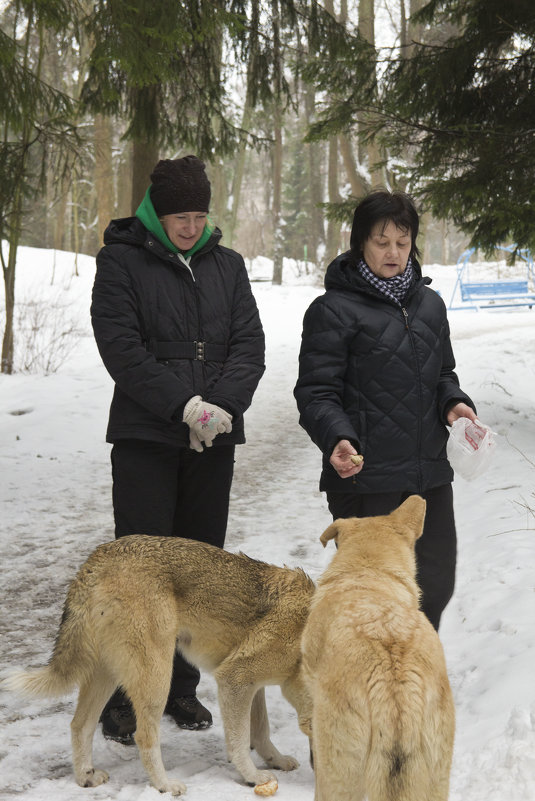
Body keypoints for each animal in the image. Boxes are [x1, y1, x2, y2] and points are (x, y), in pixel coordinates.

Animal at [2, 536, 316, 792]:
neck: (305, 634)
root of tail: (99, 557)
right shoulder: (234, 679)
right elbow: (239, 742)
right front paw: (252, 777)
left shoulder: (252, 686)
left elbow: (261, 731)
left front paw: (276, 760)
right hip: (158, 676)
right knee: (144, 737)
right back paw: (164, 785)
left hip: (108, 676)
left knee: (80, 725)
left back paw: (85, 777)